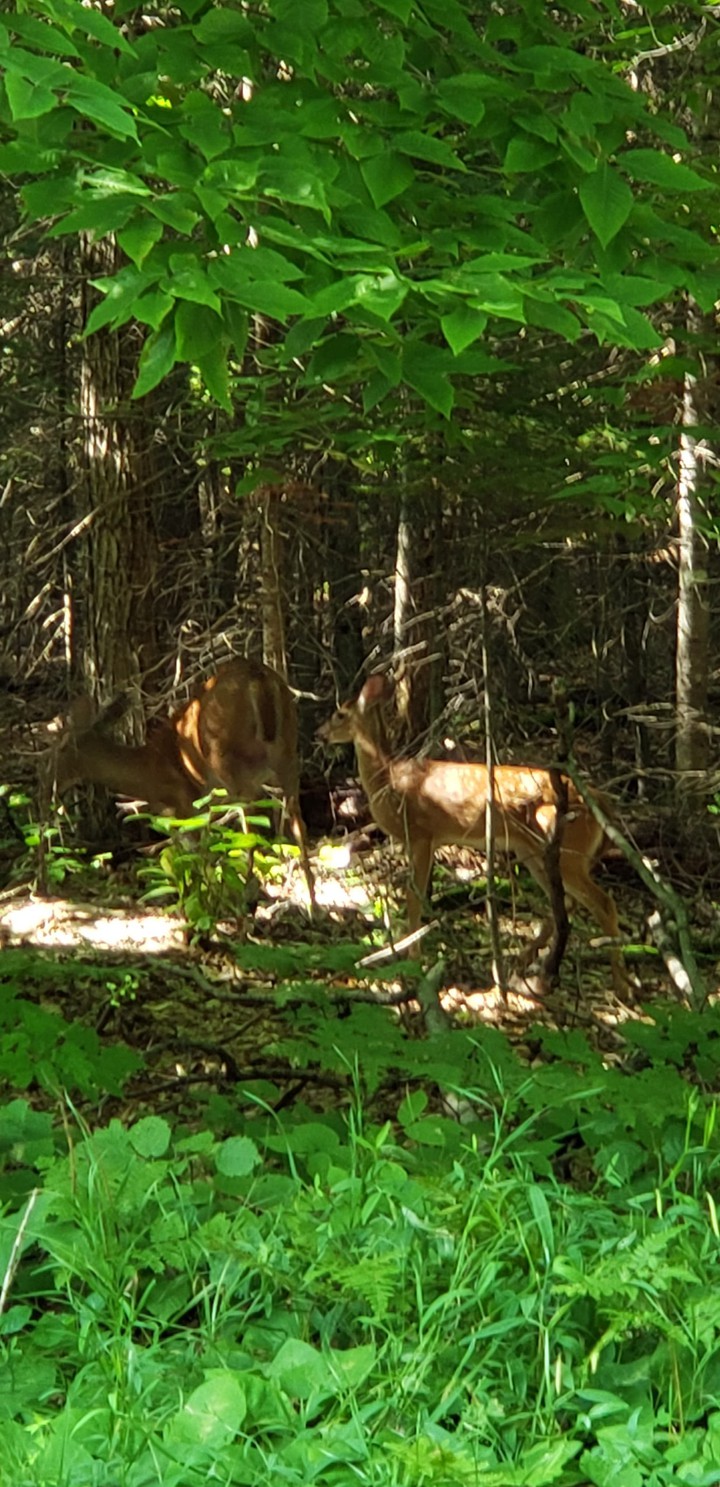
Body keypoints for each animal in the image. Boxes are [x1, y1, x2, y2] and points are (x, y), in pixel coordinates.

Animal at [49, 657, 315, 908]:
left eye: (59, 748)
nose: (52, 784)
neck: (150, 768)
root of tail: (257, 675)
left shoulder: (184, 804)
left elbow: (193, 855)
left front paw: (202, 898)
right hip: (288, 752)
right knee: (297, 821)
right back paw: (311, 903)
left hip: (227, 760)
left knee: (250, 823)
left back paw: (249, 892)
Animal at [317, 672, 626, 991]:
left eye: (340, 714)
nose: (319, 733)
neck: (387, 780)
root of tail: (599, 800)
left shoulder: (421, 833)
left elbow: (414, 897)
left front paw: (414, 960)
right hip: (533, 850)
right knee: (564, 903)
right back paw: (526, 960)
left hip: (569, 850)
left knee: (603, 902)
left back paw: (621, 984)